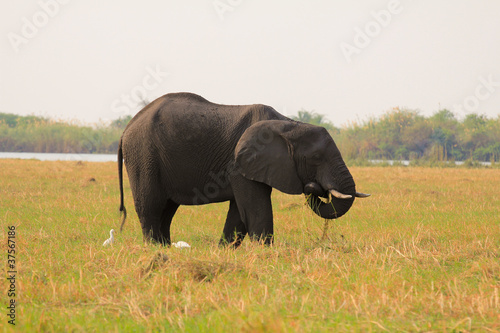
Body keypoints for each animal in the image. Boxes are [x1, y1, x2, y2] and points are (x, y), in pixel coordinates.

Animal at [117, 92, 368, 245]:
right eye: (316, 158)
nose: (313, 185)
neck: (288, 124)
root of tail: (127, 127)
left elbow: (239, 214)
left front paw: (223, 252)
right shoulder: (240, 163)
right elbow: (255, 211)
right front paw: (265, 255)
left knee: (166, 210)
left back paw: (165, 249)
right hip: (143, 156)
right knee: (151, 207)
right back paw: (155, 249)